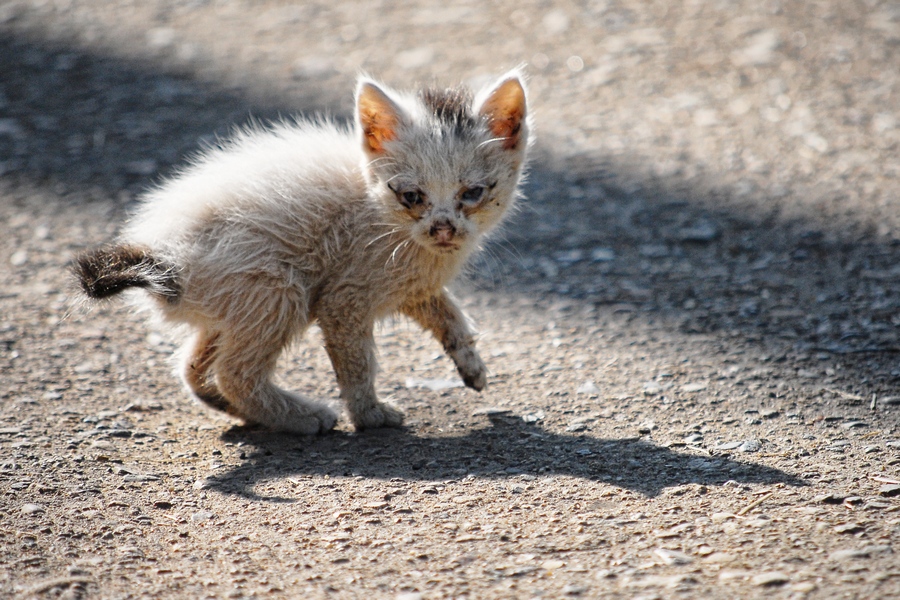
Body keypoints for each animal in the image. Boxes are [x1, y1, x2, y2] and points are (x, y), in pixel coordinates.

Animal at [74, 72, 532, 434]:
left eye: (472, 193)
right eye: (411, 196)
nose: (443, 228)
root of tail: (164, 252)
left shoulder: (412, 285)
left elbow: (449, 313)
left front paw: (472, 366)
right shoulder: (345, 296)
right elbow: (356, 362)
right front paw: (370, 415)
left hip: (232, 305)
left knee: (192, 366)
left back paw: (239, 410)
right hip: (277, 289)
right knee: (235, 373)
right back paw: (303, 417)